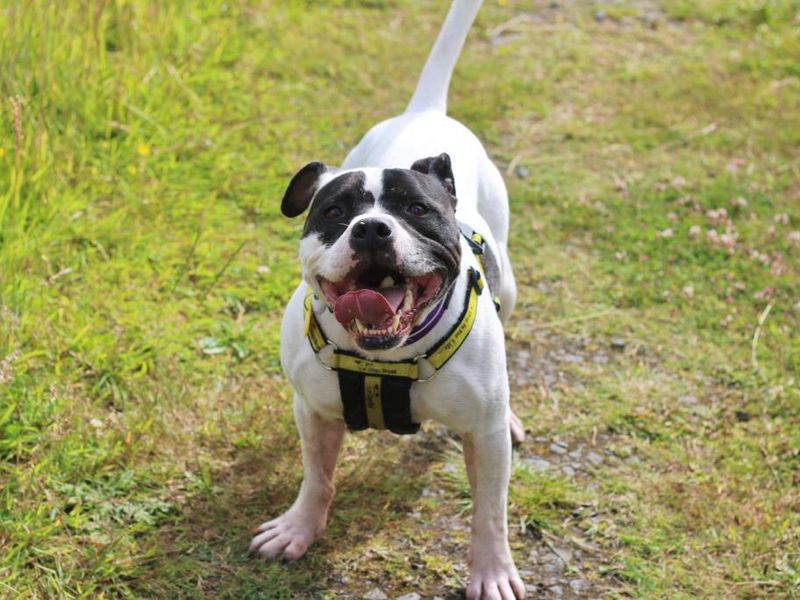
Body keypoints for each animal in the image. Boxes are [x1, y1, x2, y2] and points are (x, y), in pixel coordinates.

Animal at [248, 2, 524, 596]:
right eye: (333, 212)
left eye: (417, 210)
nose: (372, 229)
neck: (385, 360)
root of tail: (426, 110)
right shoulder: (314, 412)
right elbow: (317, 478)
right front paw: (299, 528)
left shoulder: (484, 437)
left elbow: (489, 511)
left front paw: (491, 570)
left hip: (509, 287)